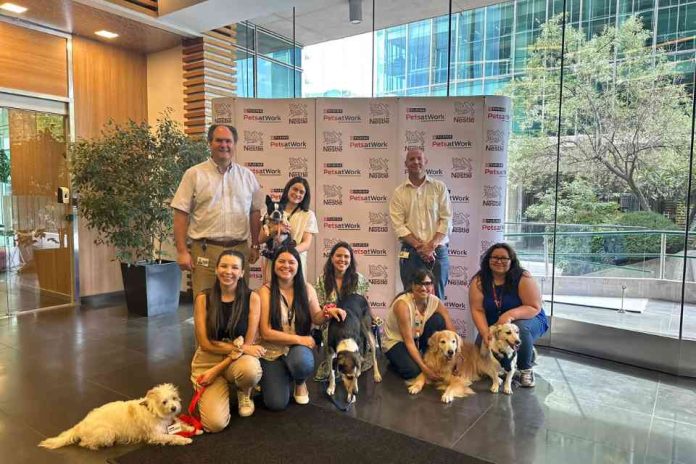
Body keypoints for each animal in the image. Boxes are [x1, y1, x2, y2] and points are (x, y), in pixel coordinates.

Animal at [39, 384, 194, 450]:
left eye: (174, 398)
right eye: (164, 402)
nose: (174, 408)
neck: (154, 411)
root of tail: (81, 424)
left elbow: (182, 424)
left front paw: (193, 428)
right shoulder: (155, 435)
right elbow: (172, 437)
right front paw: (184, 439)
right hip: (107, 433)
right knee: (84, 443)